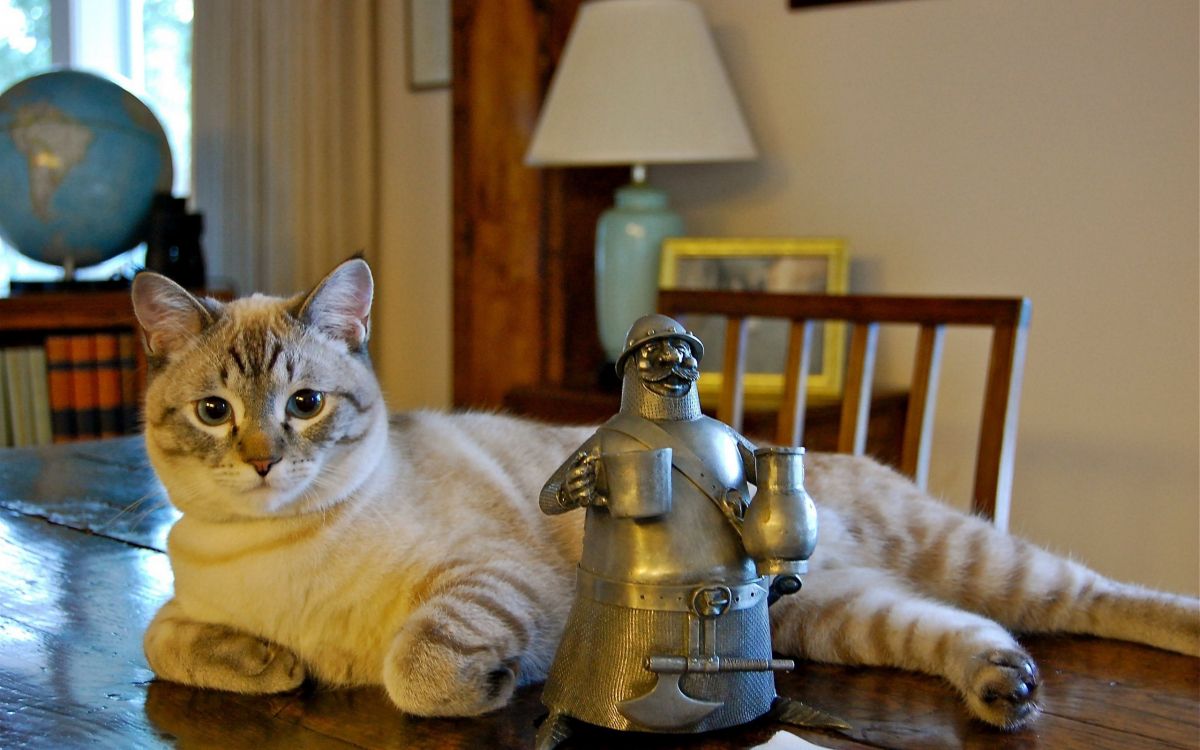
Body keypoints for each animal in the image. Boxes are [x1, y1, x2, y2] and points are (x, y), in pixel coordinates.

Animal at [136, 259, 1195, 729]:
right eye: (217, 412)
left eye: (305, 405)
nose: (264, 460)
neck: (278, 548)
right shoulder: (184, 595)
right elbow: (167, 642)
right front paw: (270, 666)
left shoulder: (490, 581)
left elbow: (418, 670)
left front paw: (488, 686)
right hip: (840, 615)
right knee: (965, 631)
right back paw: (1002, 687)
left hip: (977, 560)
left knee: (1093, 598)